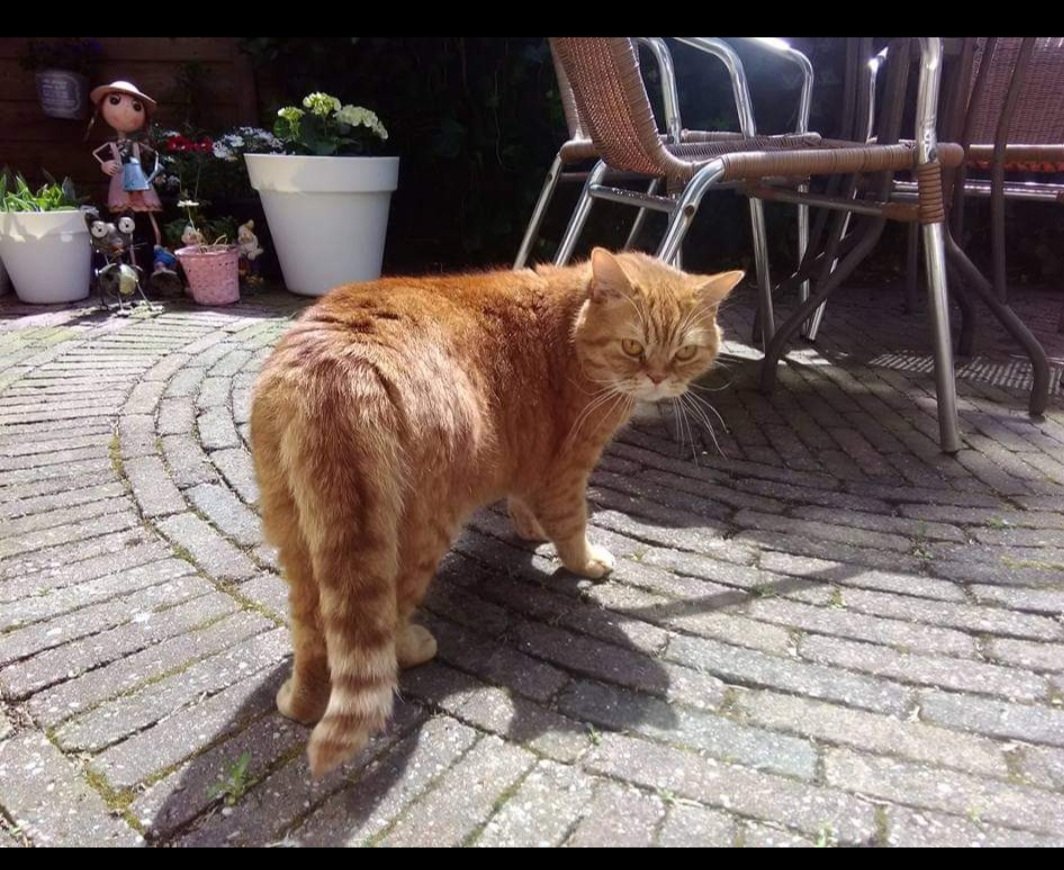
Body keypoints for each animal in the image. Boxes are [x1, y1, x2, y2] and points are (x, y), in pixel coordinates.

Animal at [250, 248, 742, 777]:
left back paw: (299, 703)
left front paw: (530, 530)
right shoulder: (567, 469)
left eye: (683, 353)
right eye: (633, 347)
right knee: (386, 621)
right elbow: (571, 526)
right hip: (417, 533)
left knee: (315, 632)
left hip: (302, 538)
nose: (657, 379)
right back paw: (415, 648)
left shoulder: (530, 460)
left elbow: (524, 503)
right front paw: (585, 562)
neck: (569, 330)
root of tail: (340, 363)